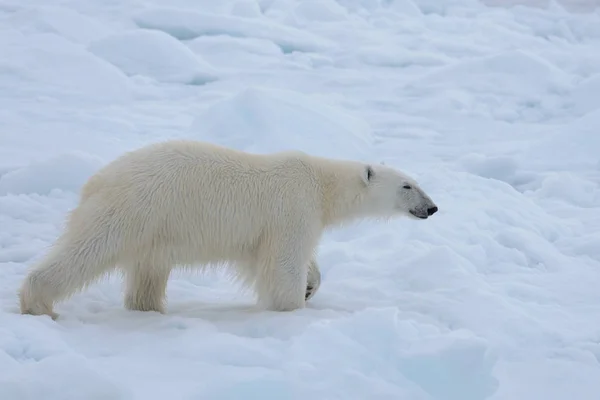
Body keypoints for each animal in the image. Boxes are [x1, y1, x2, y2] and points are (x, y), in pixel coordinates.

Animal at [18, 141, 438, 318]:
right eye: (407, 186)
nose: (432, 208)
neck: (322, 183)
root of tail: (97, 180)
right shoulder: (293, 206)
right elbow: (284, 260)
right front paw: (294, 306)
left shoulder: (269, 228)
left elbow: (274, 258)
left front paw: (310, 284)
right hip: (135, 210)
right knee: (88, 250)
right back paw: (38, 303)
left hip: (154, 228)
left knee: (148, 272)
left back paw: (148, 308)